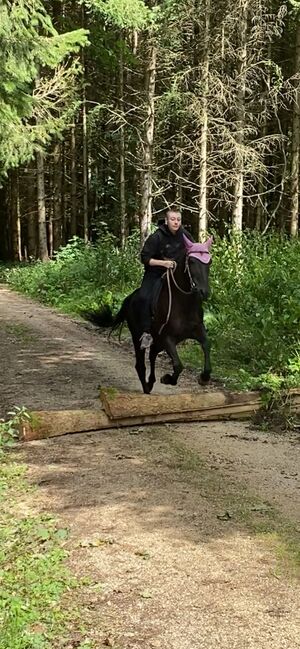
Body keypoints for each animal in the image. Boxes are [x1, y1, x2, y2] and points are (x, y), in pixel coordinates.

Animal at [86, 235, 213, 392]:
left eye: (209, 262)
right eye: (192, 261)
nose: (204, 292)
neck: (183, 303)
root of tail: (130, 298)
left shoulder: (197, 331)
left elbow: (206, 345)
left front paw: (204, 378)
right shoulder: (167, 338)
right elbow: (178, 365)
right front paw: (168, 379)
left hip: (157, 342)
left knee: (152, 355)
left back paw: (151, 381)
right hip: (138, 337)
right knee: (141, 363)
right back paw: (147, 385)